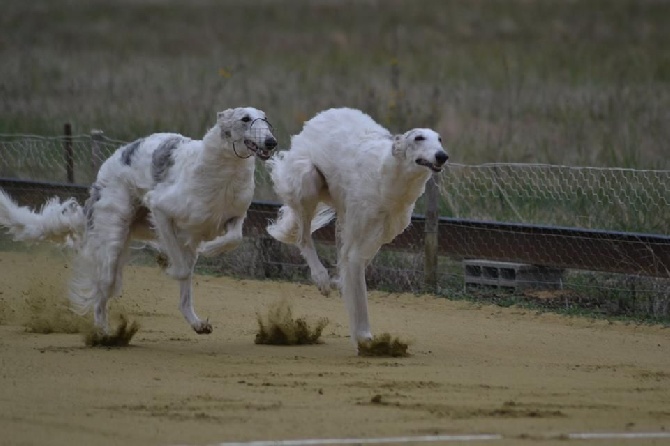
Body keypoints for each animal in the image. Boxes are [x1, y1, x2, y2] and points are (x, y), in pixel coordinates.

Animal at [0, 105, 278, 334]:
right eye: (245, 118)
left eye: (266, 119)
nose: (272, 142)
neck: (222, 176)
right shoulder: (161, 208)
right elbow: (181, 267)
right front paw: (170, 263)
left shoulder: (232, 215)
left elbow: (234, 237)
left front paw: (210, 249)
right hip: (114, 233)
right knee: (102, 290)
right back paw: (104, 333)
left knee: (182, 299)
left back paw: (197, 323)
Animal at [266, 108, 448, 348]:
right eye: (419, 138)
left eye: (440, 139)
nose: (442, 156)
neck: (386, 179)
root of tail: (317, 118)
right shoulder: (359, 237)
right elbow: (358, 292)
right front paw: (364, 337)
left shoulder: (380, 234)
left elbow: (352, 267)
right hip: (308, 181)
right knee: (303, 238)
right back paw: (321, 278)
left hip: (341, 212)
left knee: (335, 245)